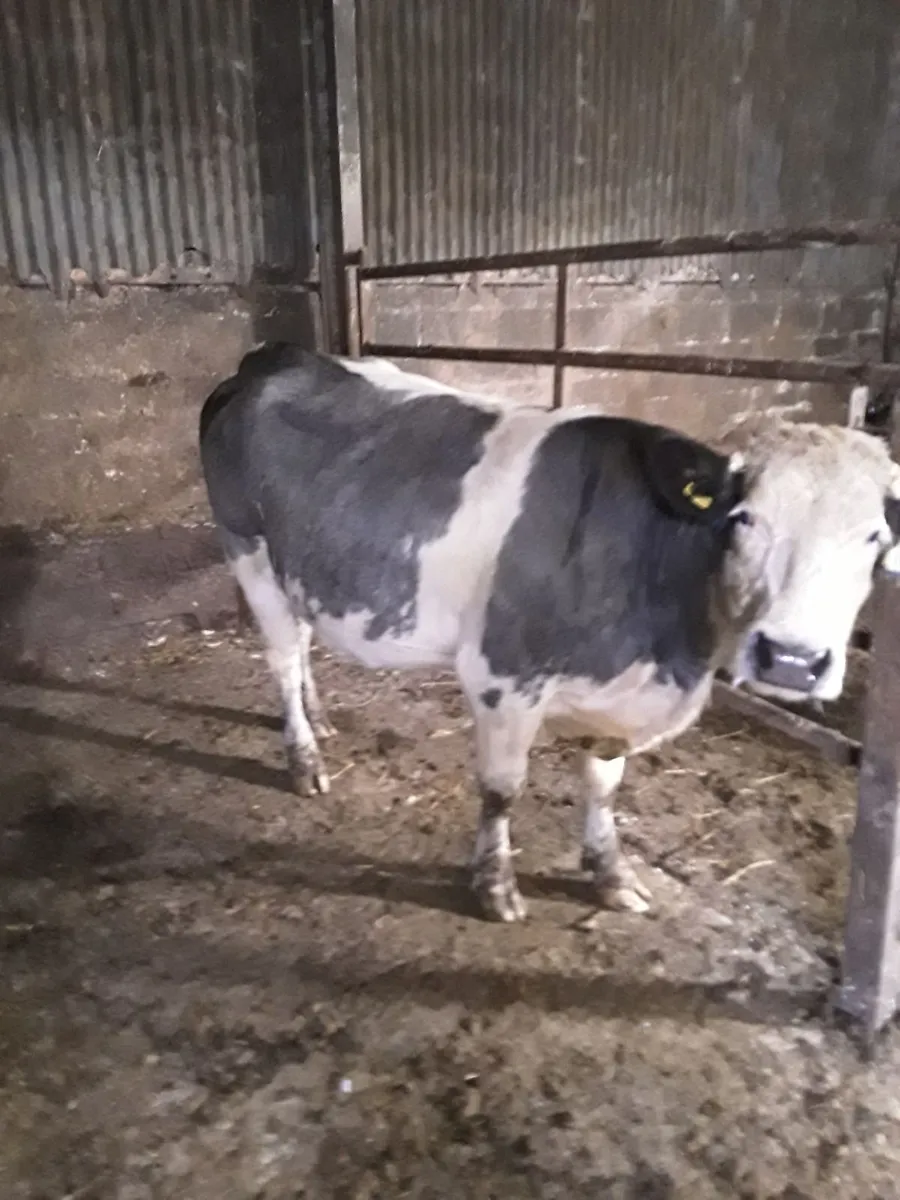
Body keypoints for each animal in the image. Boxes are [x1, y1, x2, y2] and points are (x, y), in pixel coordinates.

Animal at [199, 344, 900, 922]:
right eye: (744, 518)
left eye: (875, 537)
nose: (792, 660)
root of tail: (276, 356)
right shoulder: (503, 677)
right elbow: (502, 789)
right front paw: (495, 887)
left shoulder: (616, 701)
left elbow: (604, 788)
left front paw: (610, 875)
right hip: (247, 549)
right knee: (282, 657)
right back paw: (304, 757)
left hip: (301, 566)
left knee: (302, 643)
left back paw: (320, 719)